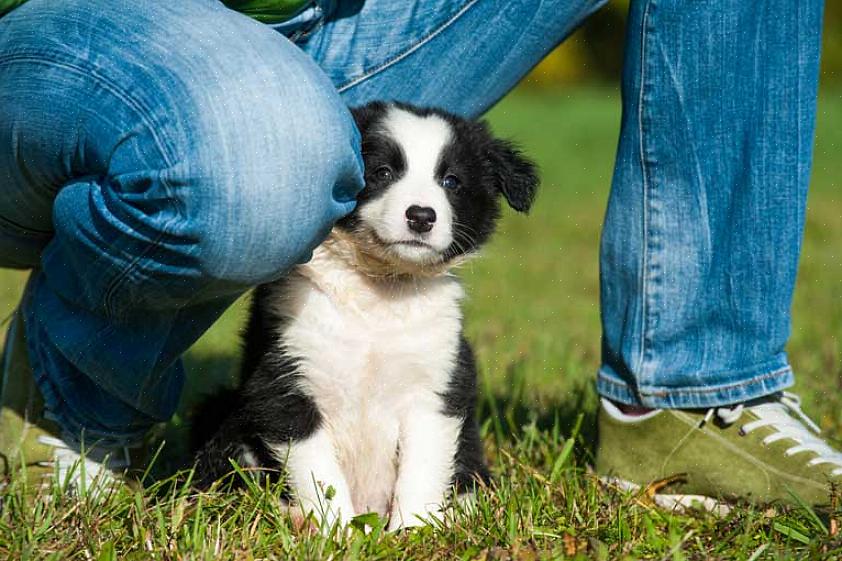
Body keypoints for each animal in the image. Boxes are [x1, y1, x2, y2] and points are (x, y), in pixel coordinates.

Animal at [192, 100, 540, 528]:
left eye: (451, 182)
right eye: (382, 173)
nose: (421, 216)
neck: (378, 293)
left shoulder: (437, 384)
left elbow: (422, 469)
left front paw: (412, 531)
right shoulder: (284, 380)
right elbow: (317, 472)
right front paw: (336, 531)